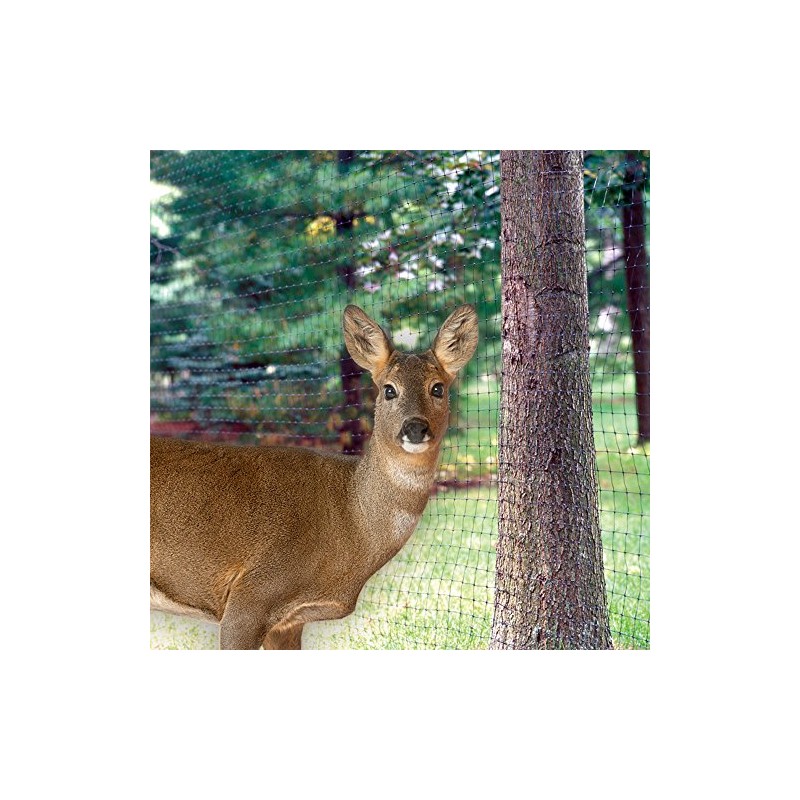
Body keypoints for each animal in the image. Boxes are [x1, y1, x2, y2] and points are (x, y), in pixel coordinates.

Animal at [150, 303, 479, 649]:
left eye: (437, 388)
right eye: (389, 389)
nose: (415, 427)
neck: (350, 521)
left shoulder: (289, 622)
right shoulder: (251, 596)